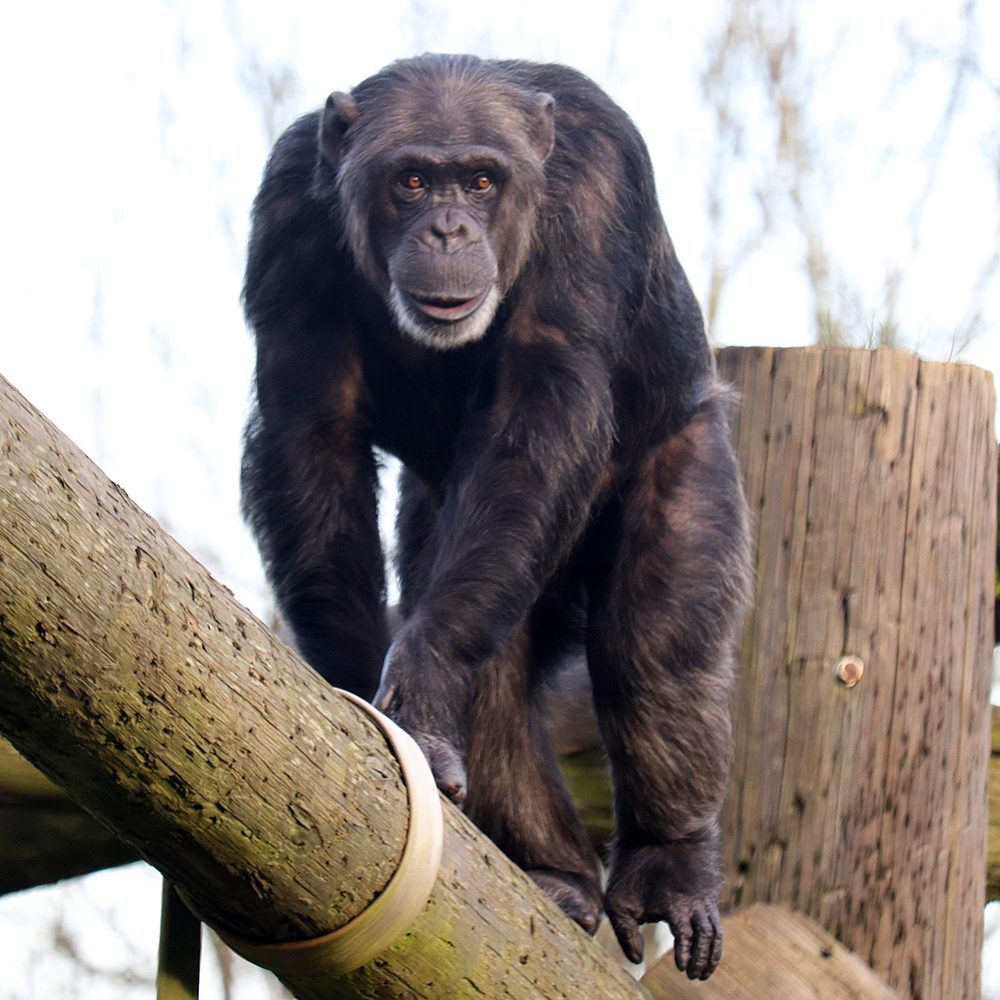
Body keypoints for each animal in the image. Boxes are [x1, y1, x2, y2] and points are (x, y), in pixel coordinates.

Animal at [238, 52, 748, 976]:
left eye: (481, 180)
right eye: (411, 180)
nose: (447, 230)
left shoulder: (598, 187)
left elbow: (542, 400)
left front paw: (423, 674)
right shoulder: (285, 208)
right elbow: (309, 426)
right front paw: (369, 697)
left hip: (687, 451)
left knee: (655, 645)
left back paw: (669, 867)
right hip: (462, 532)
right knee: (500, 668)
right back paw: (559, 875)